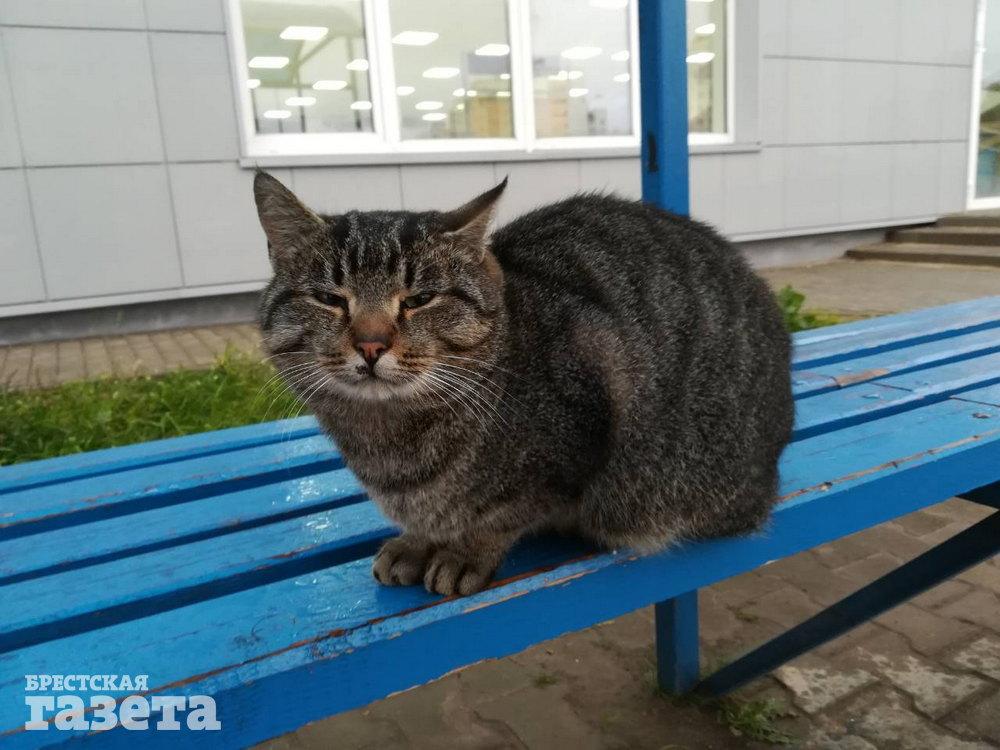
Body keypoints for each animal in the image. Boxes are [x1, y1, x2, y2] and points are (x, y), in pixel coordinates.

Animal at [254, 171, 794, 597]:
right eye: (329, 298)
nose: (370, 344)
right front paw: (417, 540)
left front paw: (463, 551)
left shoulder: (580, 428)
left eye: (420, 299)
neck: (392, 441)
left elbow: (506, 513)